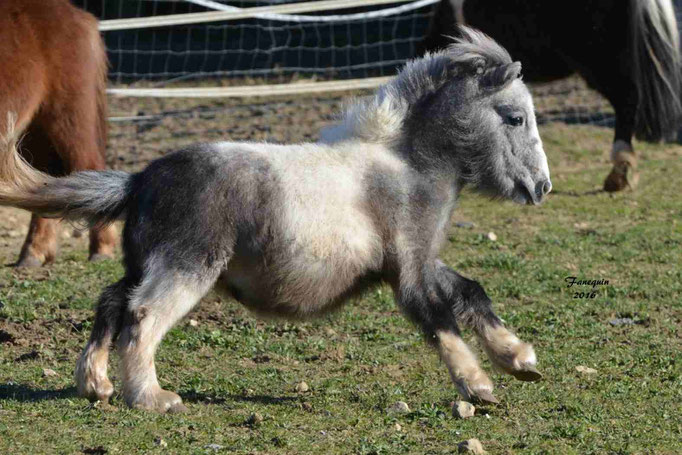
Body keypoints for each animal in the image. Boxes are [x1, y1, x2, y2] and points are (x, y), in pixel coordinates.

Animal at [0, 0, 116, 268]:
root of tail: (77, 15)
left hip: (66, 118)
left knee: (88, 165)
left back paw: (102, 251)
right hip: (32, 132)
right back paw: (33, 255)